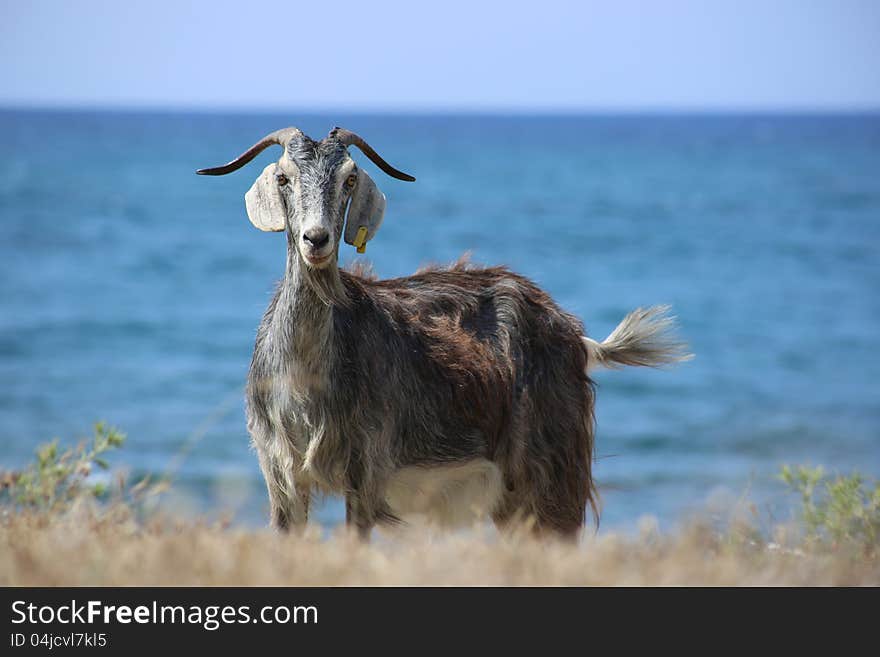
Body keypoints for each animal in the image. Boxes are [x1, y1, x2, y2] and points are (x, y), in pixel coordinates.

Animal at [198, 124, 688, 540]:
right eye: (284, 177)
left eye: (349, 179)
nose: (316, 240)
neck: (305, 382)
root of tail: (574, 335)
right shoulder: (280, 476)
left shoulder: (366, 471)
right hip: (512, 496)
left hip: (551, 466)